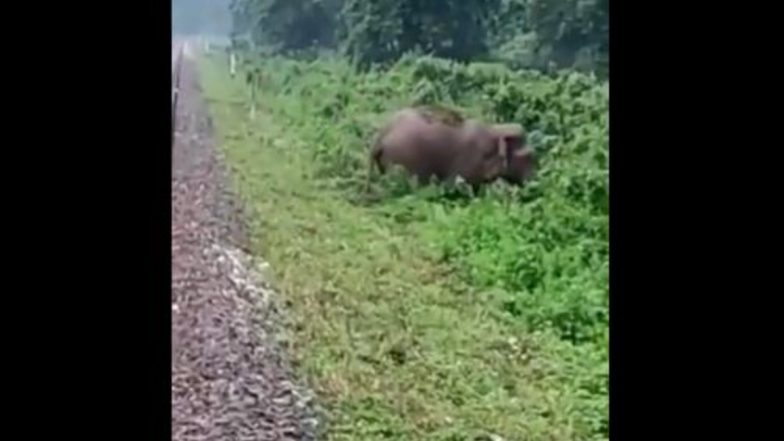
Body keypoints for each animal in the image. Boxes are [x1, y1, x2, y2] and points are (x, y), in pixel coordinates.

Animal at [366, 106, 536, 189]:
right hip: (403, 159)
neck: (495, 129)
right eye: (529, 156)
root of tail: (381, 136)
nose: (534, 184)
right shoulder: (468, 162)